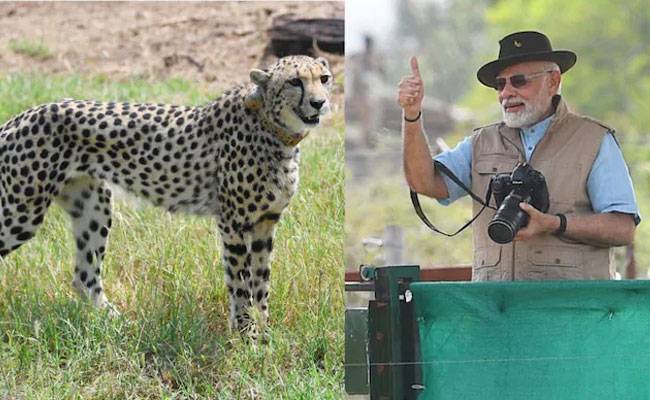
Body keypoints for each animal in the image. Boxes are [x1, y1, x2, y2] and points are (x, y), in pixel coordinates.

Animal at [0, 55, 332, 335]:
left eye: (324, 78)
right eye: (295, 81)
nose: (319, 103)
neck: (274, 129)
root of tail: (22, 115)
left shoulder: (266, 222)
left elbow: (262, 282)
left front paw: (265, 333)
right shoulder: (233, 223)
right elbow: (240, 282)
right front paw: (246, 335)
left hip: (94, 207)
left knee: (84, 277)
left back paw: (116, 324)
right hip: (21, 212)